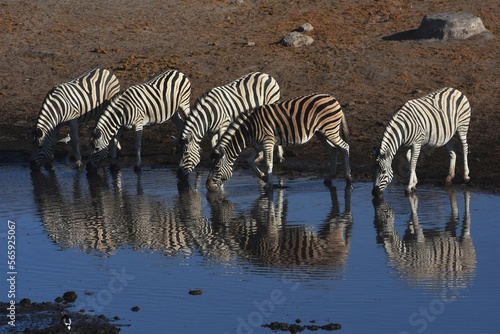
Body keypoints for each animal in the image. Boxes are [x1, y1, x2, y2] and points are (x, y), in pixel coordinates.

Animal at [204, 92, 352, 192]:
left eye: (216, 168)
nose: (207, 187)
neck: (250, 130)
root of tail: (333, 98)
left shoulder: (268, 142)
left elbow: (268, 163)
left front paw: (269, 184)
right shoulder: (258, 146)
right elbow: (250, 161)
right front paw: (264, 177)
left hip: (330, 130)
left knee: (345, 147)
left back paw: (348, 178)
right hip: (321, 133)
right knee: (333, 151)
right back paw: (329, 177)